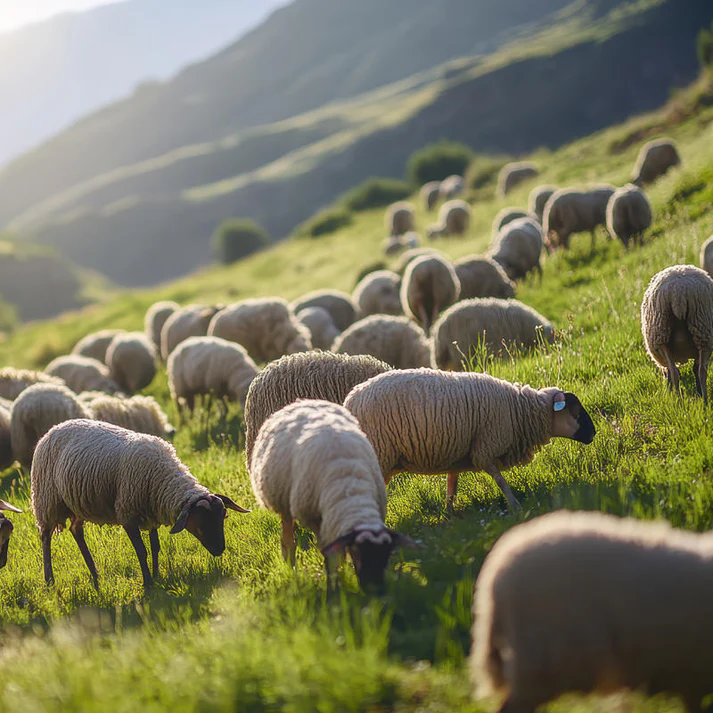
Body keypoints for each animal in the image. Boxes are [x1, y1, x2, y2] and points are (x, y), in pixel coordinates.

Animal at [31, 419, 249, 589]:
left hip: (76, 503)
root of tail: (53, 428)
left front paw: (157, 575)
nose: (220, 550)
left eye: (223, 517)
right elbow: (141, 551)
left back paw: (95, 574)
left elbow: (155, 547)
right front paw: (148, 584)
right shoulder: (127, 513)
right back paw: (49, 580)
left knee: (76, 531)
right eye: (201, 523)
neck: (162, 475)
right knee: (45, 536)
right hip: (46, 499)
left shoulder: (151, 513)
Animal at [249, 400, 418, 590]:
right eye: (358, 553)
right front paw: (333, 584)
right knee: (288, 539)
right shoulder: (315, 518)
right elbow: (330, 553)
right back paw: (290, 567)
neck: (350, 489)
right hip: (283, 500)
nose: (375, 590)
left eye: (386, 556)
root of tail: (303, 401)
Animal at [344, 369, 594, 509]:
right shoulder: (486, 446)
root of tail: (349, 401)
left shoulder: (459, 453)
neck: (519, 410)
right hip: (380, 455)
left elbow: (452, 487)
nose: (593, 433)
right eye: (575, 410)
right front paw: (515, 505)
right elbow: (499, 479)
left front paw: (450, 515)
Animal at [641, 265, 713, 402]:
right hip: (703, 331)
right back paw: (704, 401)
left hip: (661, 337)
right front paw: (699, 394)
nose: (666, 390)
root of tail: (678, 294)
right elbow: (696, 369)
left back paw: (679, 402)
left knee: (675, 372)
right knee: (702, 371)